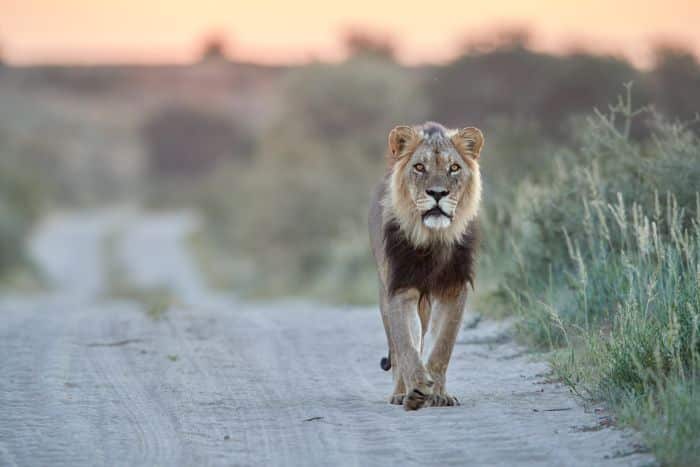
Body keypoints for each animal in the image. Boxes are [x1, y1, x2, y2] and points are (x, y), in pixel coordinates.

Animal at [370, 122, 484, 412]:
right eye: (419, 167)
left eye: (454, 168)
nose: (437, 193)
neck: (434, 238)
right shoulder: (400, 289)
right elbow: (407, 345)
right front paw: (417, 389)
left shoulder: (454, 289)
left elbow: (443, 346)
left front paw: (438, 394)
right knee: (398, 348)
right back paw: (400, 392)